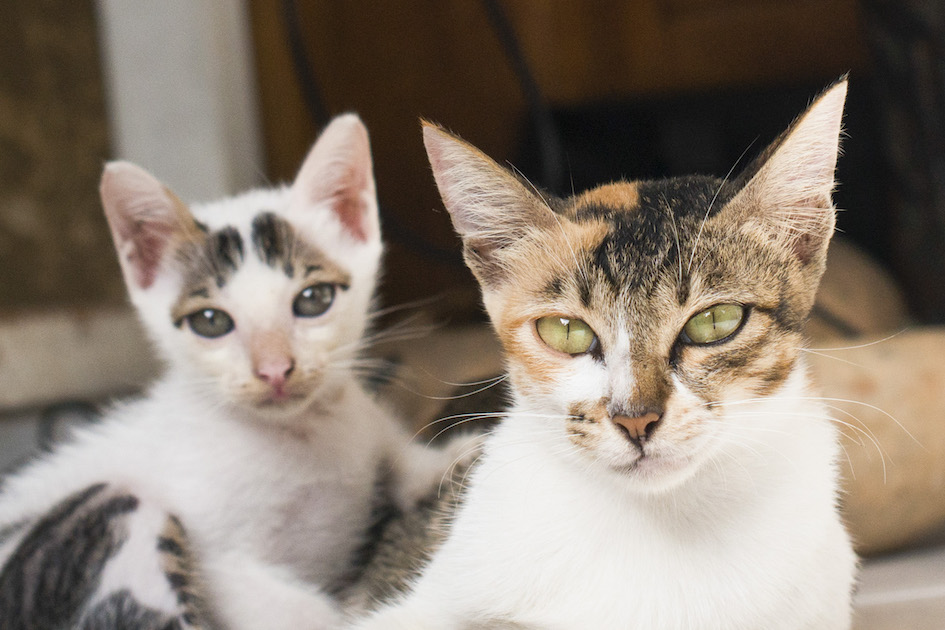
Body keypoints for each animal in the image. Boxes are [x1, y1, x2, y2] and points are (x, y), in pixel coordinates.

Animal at [0, 115, 460, 630]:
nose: (275, 370)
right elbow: (302, 610)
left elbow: (390, 446)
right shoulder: (222, 566)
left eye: (313, 299)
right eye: (211, 322)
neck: (304, 435)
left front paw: (440, 460)